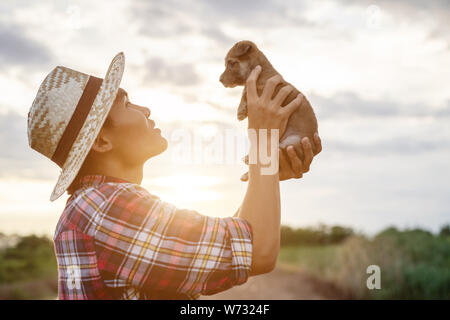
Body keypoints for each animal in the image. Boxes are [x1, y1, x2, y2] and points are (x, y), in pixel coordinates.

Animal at [219, 41, 318, 171]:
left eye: (231, 63)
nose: (220, 80)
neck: (261, 70)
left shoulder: (262, 88)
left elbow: (245, 91)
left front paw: (241, 111)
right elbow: (245, 91)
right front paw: (241, 110)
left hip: (291, 143)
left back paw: (248, 159)